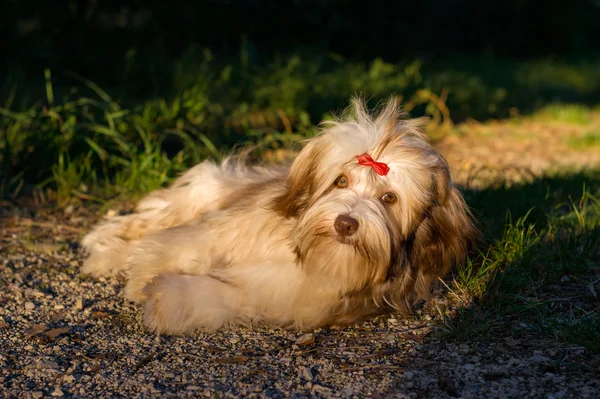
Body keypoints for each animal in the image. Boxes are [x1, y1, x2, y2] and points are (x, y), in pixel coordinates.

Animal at [81, 98, 474, 336]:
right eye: (341, 181)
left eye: (389, 198)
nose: (346, 223)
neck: (304, 248)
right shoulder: (229, 227)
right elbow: (190, 243)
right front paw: (145, 271)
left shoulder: (285, 293)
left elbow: (226, 293)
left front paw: (168, 298)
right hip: (208, 189)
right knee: (156, 218)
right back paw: (105, 246)